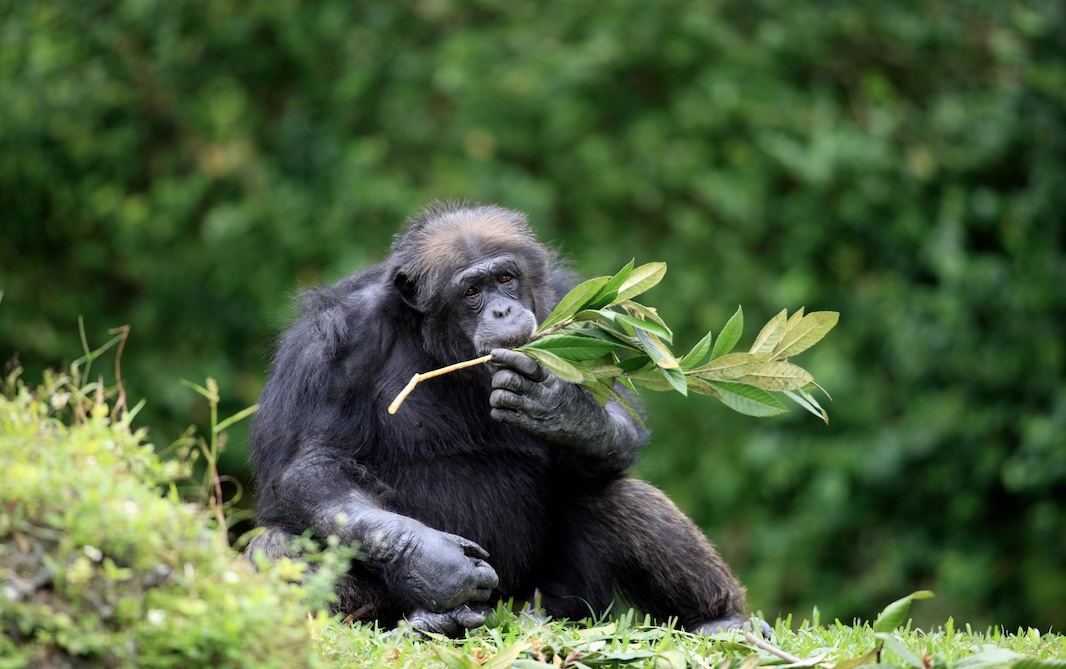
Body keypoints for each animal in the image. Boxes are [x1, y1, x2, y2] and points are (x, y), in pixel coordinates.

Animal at [247, 201, 767, 634]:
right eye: (471, 290)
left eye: (504, 279)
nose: (501, 309)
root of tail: (508, 616)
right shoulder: (332, 344)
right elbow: (314, 462)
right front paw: (435, 562)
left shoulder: (566, 304)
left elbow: (619, 418)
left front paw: (562, 410)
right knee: (281, 546)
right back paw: (423, 622)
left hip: (566, 605)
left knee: (614, 493)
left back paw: (720, 620)